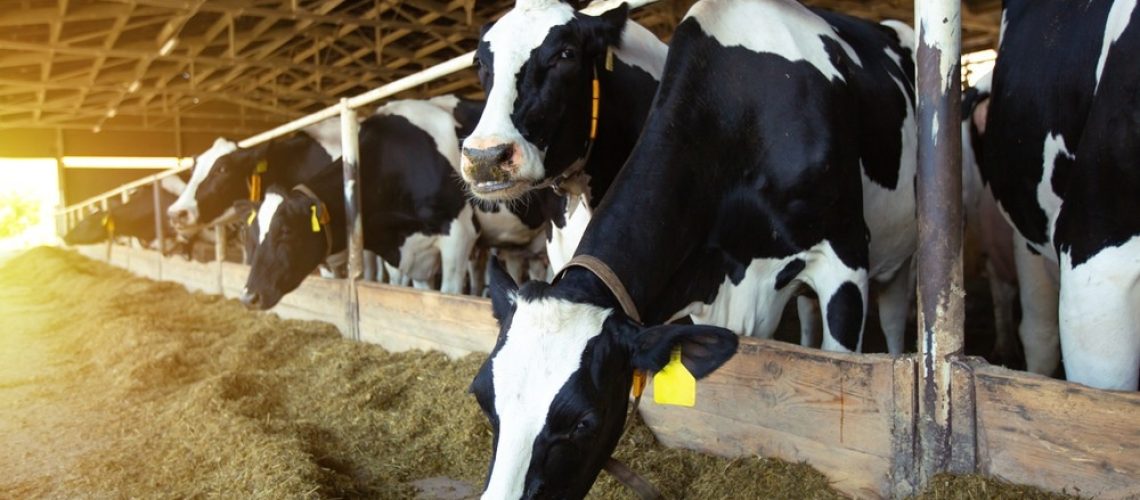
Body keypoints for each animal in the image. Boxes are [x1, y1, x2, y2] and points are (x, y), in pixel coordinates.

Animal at [467, 0, 920, 497]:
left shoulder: (844, 256)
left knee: (893, 318)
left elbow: (841, 365)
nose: (484, 156)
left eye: (583, 422)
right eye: (482, 398)